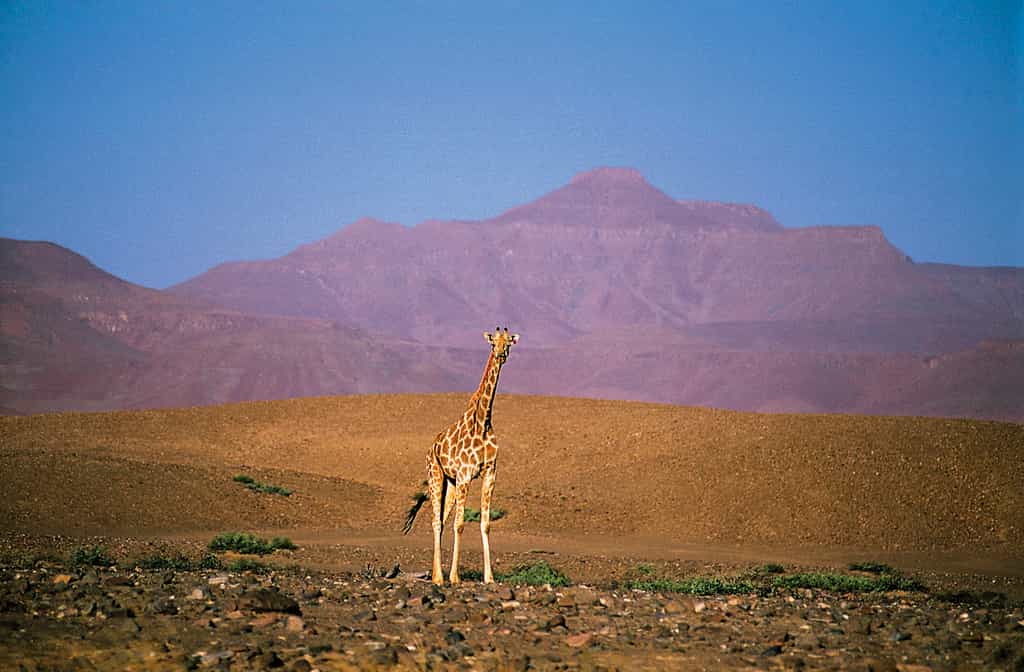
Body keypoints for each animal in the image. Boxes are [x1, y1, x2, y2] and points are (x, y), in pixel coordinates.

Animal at [403, 327, 520, 585]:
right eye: (492, 343)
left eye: (508, 342)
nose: (500, 354)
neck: (483, 422)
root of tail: (432, 447)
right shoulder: (466, 475)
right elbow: (460, 524)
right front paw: (455, 577)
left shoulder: (489, 474)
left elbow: (484, 524)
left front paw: (489, 577)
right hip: (436, 476)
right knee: (437, 522)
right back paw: (439, 577)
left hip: (451, 484)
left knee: (441, 520)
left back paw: (435, 574)